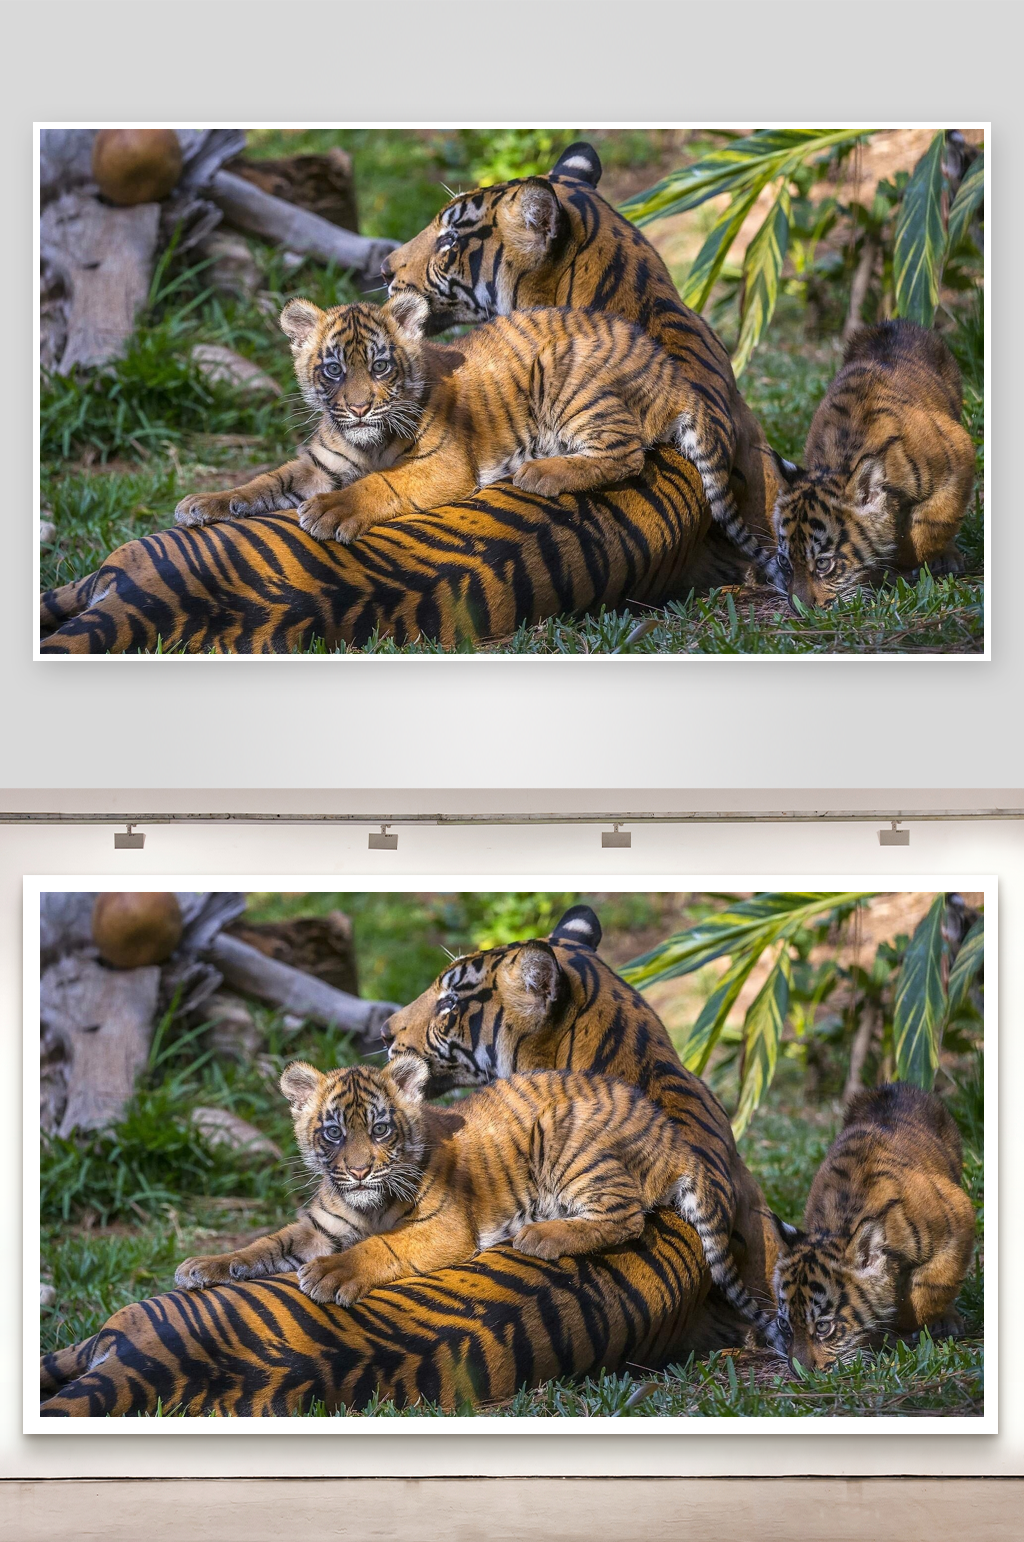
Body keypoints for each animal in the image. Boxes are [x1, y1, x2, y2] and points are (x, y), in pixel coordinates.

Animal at [176, 292, 762, 563]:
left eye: (381, 366)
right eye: (334, 370)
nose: (360, 409)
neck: (365, 442)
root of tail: (673, 371)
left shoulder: (444, 464)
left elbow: (382, 482)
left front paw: (329, 512)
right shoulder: (318, 464)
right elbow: (262, 481)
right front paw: (203, 503)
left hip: (570, 382)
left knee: (628, 452)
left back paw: (541, 472)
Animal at [176, 1055, 773, 1338]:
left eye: (381, 1129)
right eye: (333, 1133)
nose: (360, 1170)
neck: (367, 1206)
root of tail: (673, 1136)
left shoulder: (443, 1227)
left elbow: (381, 1247)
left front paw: (330, 1275)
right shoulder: (319, 1227)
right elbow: (262, 1246)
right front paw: (204, 1265)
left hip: (570, 1144)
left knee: (626, 1216)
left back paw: (539, 1235)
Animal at [769, 1082, 976, 1371]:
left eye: (822, 1327)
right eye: (784, 1324)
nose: (800, 1372)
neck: (841, 1223)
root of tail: (895, 1085)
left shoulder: (959, 1217)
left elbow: (933, 1285)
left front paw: (907, 1323)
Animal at [771, 320, 976, 607]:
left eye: (823, 564)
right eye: (784, 561)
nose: (800, 609)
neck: (841, 460)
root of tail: (894, 322)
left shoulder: (959, 455)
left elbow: (933, 522)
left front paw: (905, 559)